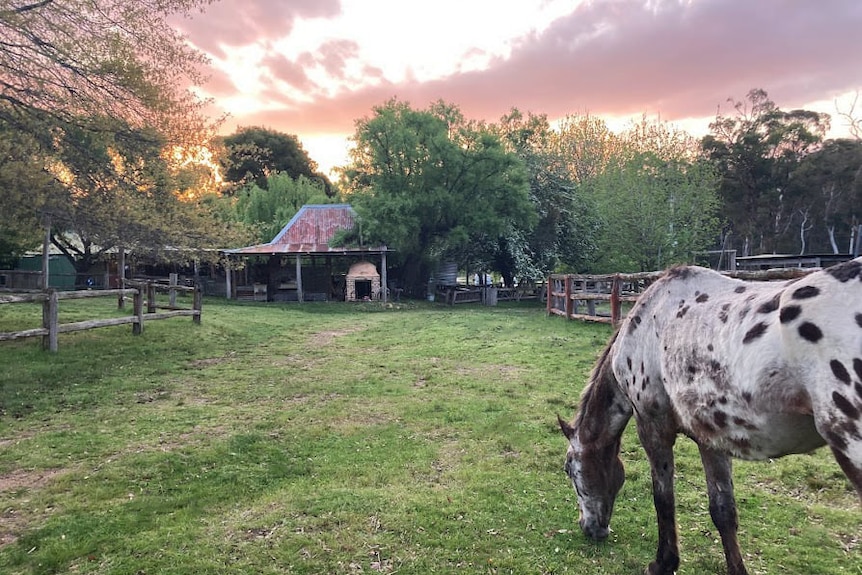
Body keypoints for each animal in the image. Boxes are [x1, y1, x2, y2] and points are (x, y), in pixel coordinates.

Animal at [560, 258, 862, 575]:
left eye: (569, 469)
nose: (589, 528)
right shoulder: (712, 436)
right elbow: (723, 510)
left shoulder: (652, 426)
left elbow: (663, 498)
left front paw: (663, 562)